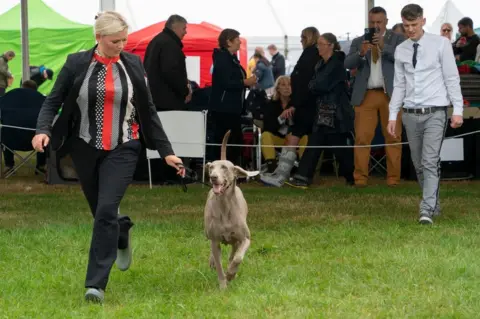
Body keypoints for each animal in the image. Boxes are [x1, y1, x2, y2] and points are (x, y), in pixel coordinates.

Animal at [205, 130, 260, 290]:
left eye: (224, 167)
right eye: (211, 167)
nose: (213, 177)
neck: (225, 206)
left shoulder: (246, 239)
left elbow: (238, 258)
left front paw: (231, 273)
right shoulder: (215, 240)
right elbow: (218, 264)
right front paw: (223, 285)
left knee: (234, 252)